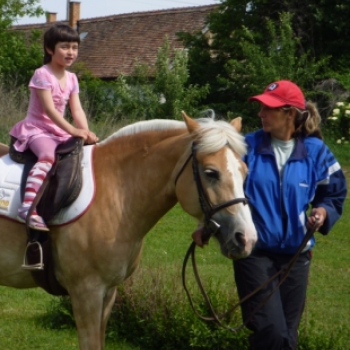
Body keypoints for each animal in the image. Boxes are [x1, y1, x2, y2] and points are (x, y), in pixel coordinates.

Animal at [0, 113, 258, 348]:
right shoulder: (86, 293)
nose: (245, 238)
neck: (115, 192)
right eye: (211, 173)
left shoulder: (108, 292)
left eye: (245, 171)